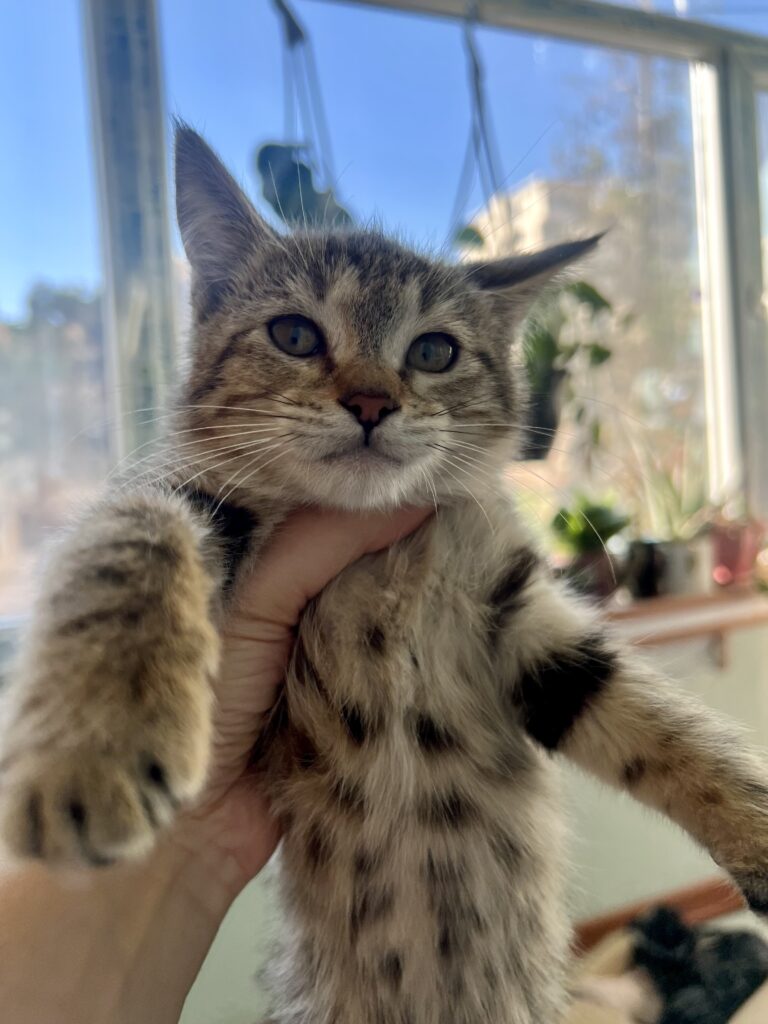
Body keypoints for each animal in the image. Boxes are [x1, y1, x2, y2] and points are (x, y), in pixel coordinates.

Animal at [2, 123, 768, 1024]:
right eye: (295, 335)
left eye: (434, 351)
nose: (372, 403)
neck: (379, 556)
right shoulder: (187, 494)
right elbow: (129, 537)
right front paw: (94, 741)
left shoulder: (520, 614)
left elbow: (662, 725)